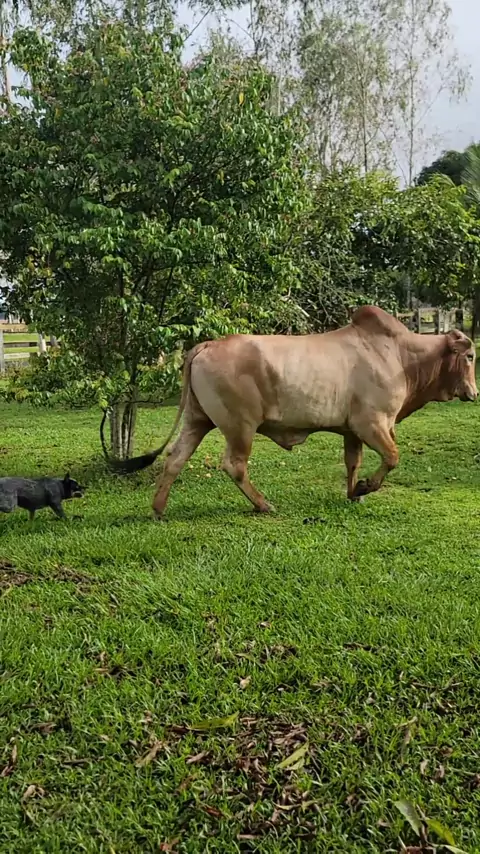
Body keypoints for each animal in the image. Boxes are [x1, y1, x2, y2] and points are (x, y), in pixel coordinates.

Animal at [116, 306, 478, 517]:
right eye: (471, 356)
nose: (474, 393)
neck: (402, 357)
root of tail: (207, 344)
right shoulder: (372, 424)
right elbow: (391, 458)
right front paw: (364, 488)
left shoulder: (351, 430)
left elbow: (353, 462)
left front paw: (354, 492)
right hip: (239, 426)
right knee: (234, 465)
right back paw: (263, 504)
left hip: (197, 420)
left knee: (175, 459)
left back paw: (158, 509)